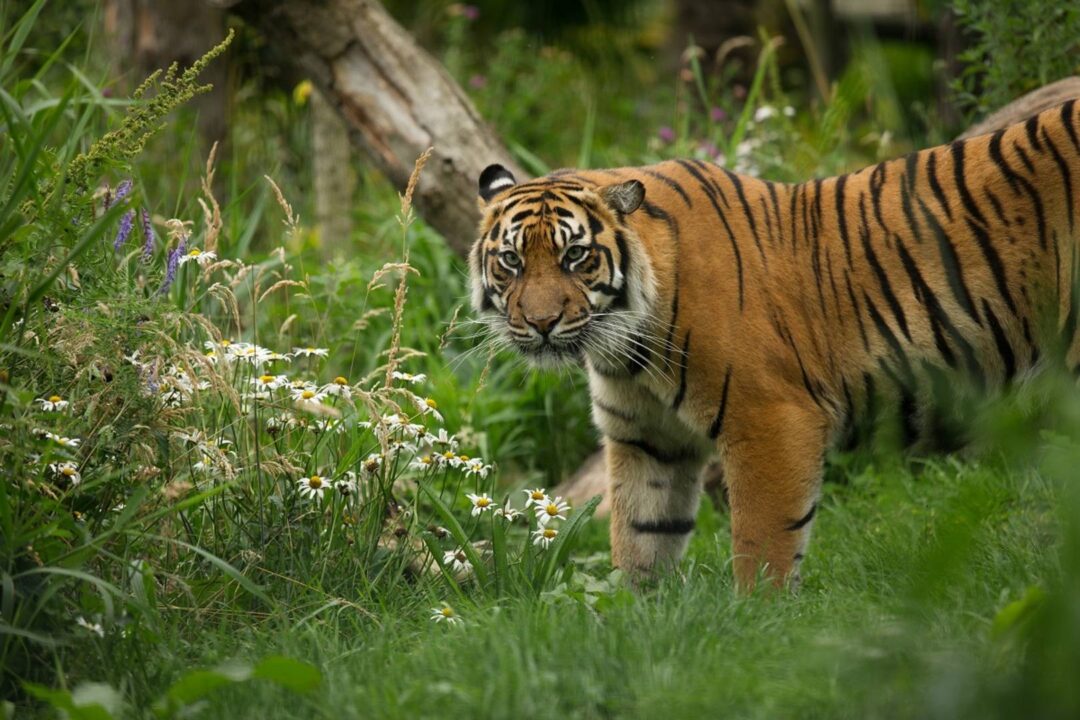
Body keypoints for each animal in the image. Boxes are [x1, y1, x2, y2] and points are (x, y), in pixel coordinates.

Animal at [468, 100, 1080, 588]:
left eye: (575, 256)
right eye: (511, 260)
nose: (541, 322)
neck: (626, 346)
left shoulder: (769, 417)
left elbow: (763, 542)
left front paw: (755, 620)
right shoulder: (646, 439)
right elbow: (641, 536)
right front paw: (634, 618)